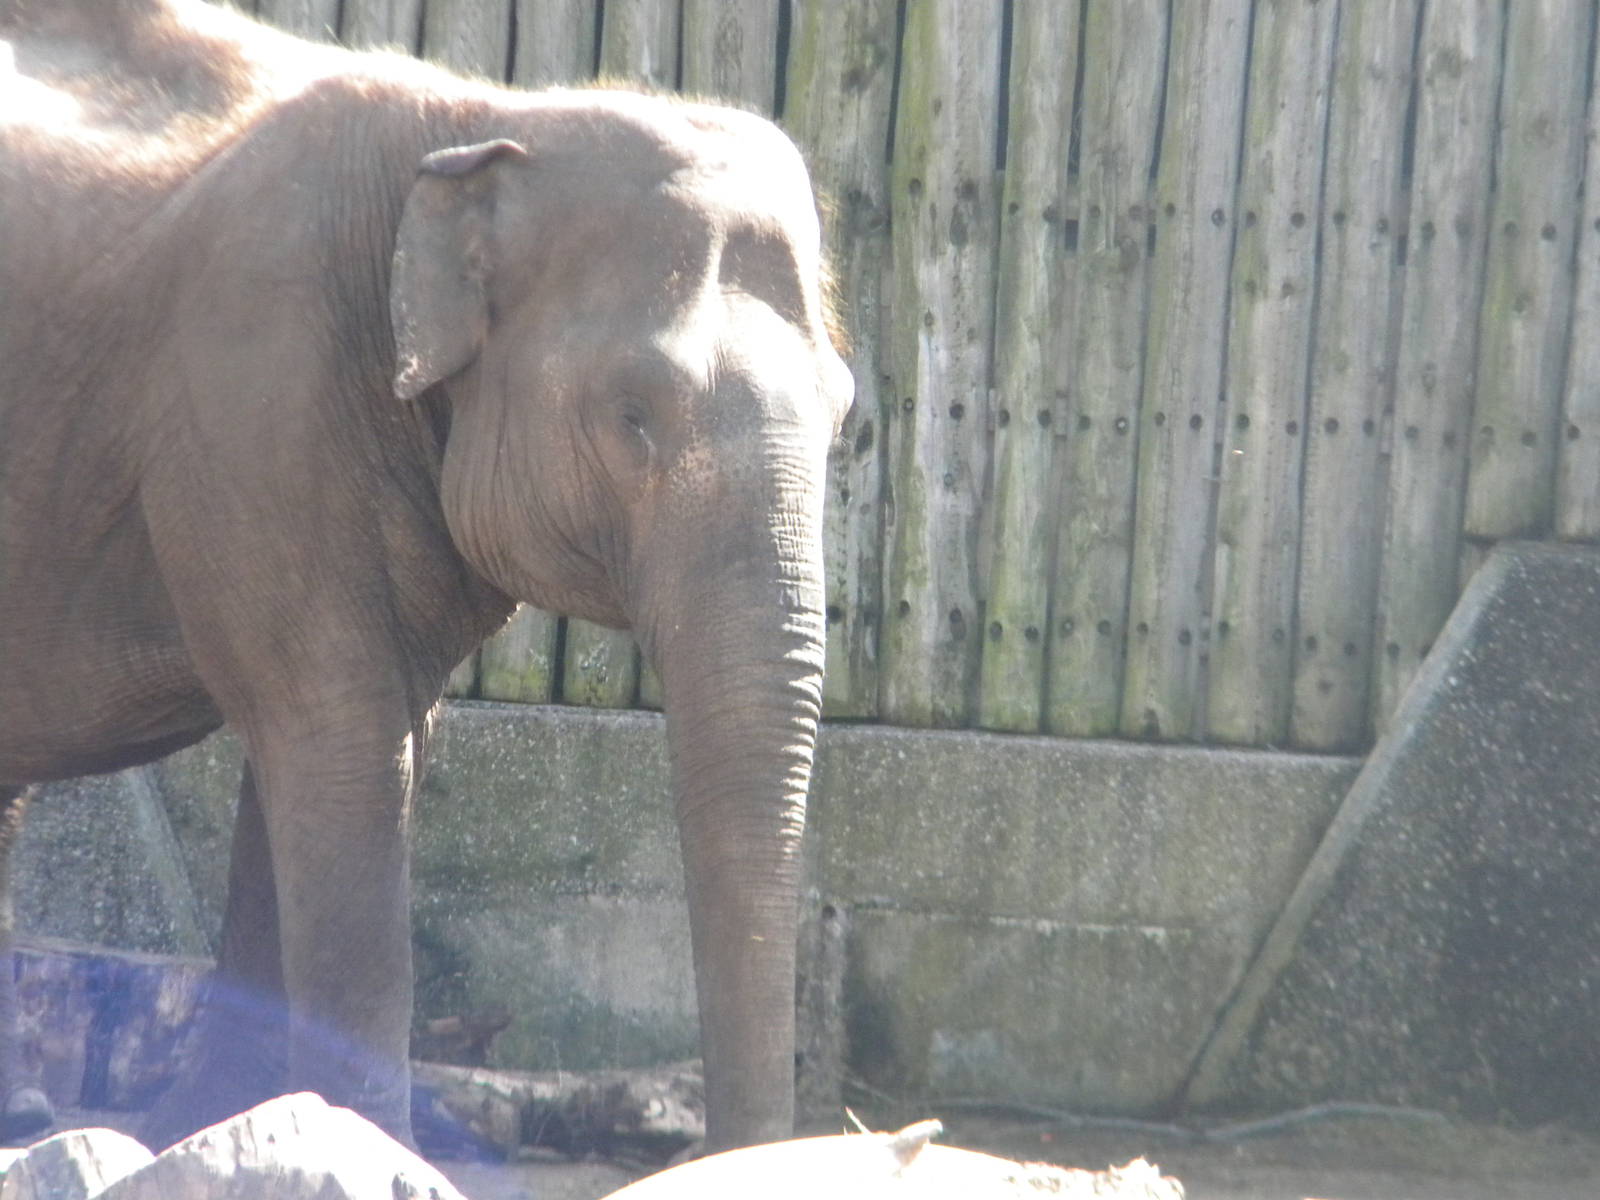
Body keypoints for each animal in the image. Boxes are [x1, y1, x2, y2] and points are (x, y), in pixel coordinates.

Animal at [0, 0, 851, 1154]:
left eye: (844, 409)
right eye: (633, 417)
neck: (484, 123)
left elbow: (359, 740)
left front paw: (219, 1123)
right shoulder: (254, 395)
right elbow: (345, 742)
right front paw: (354, 1143)